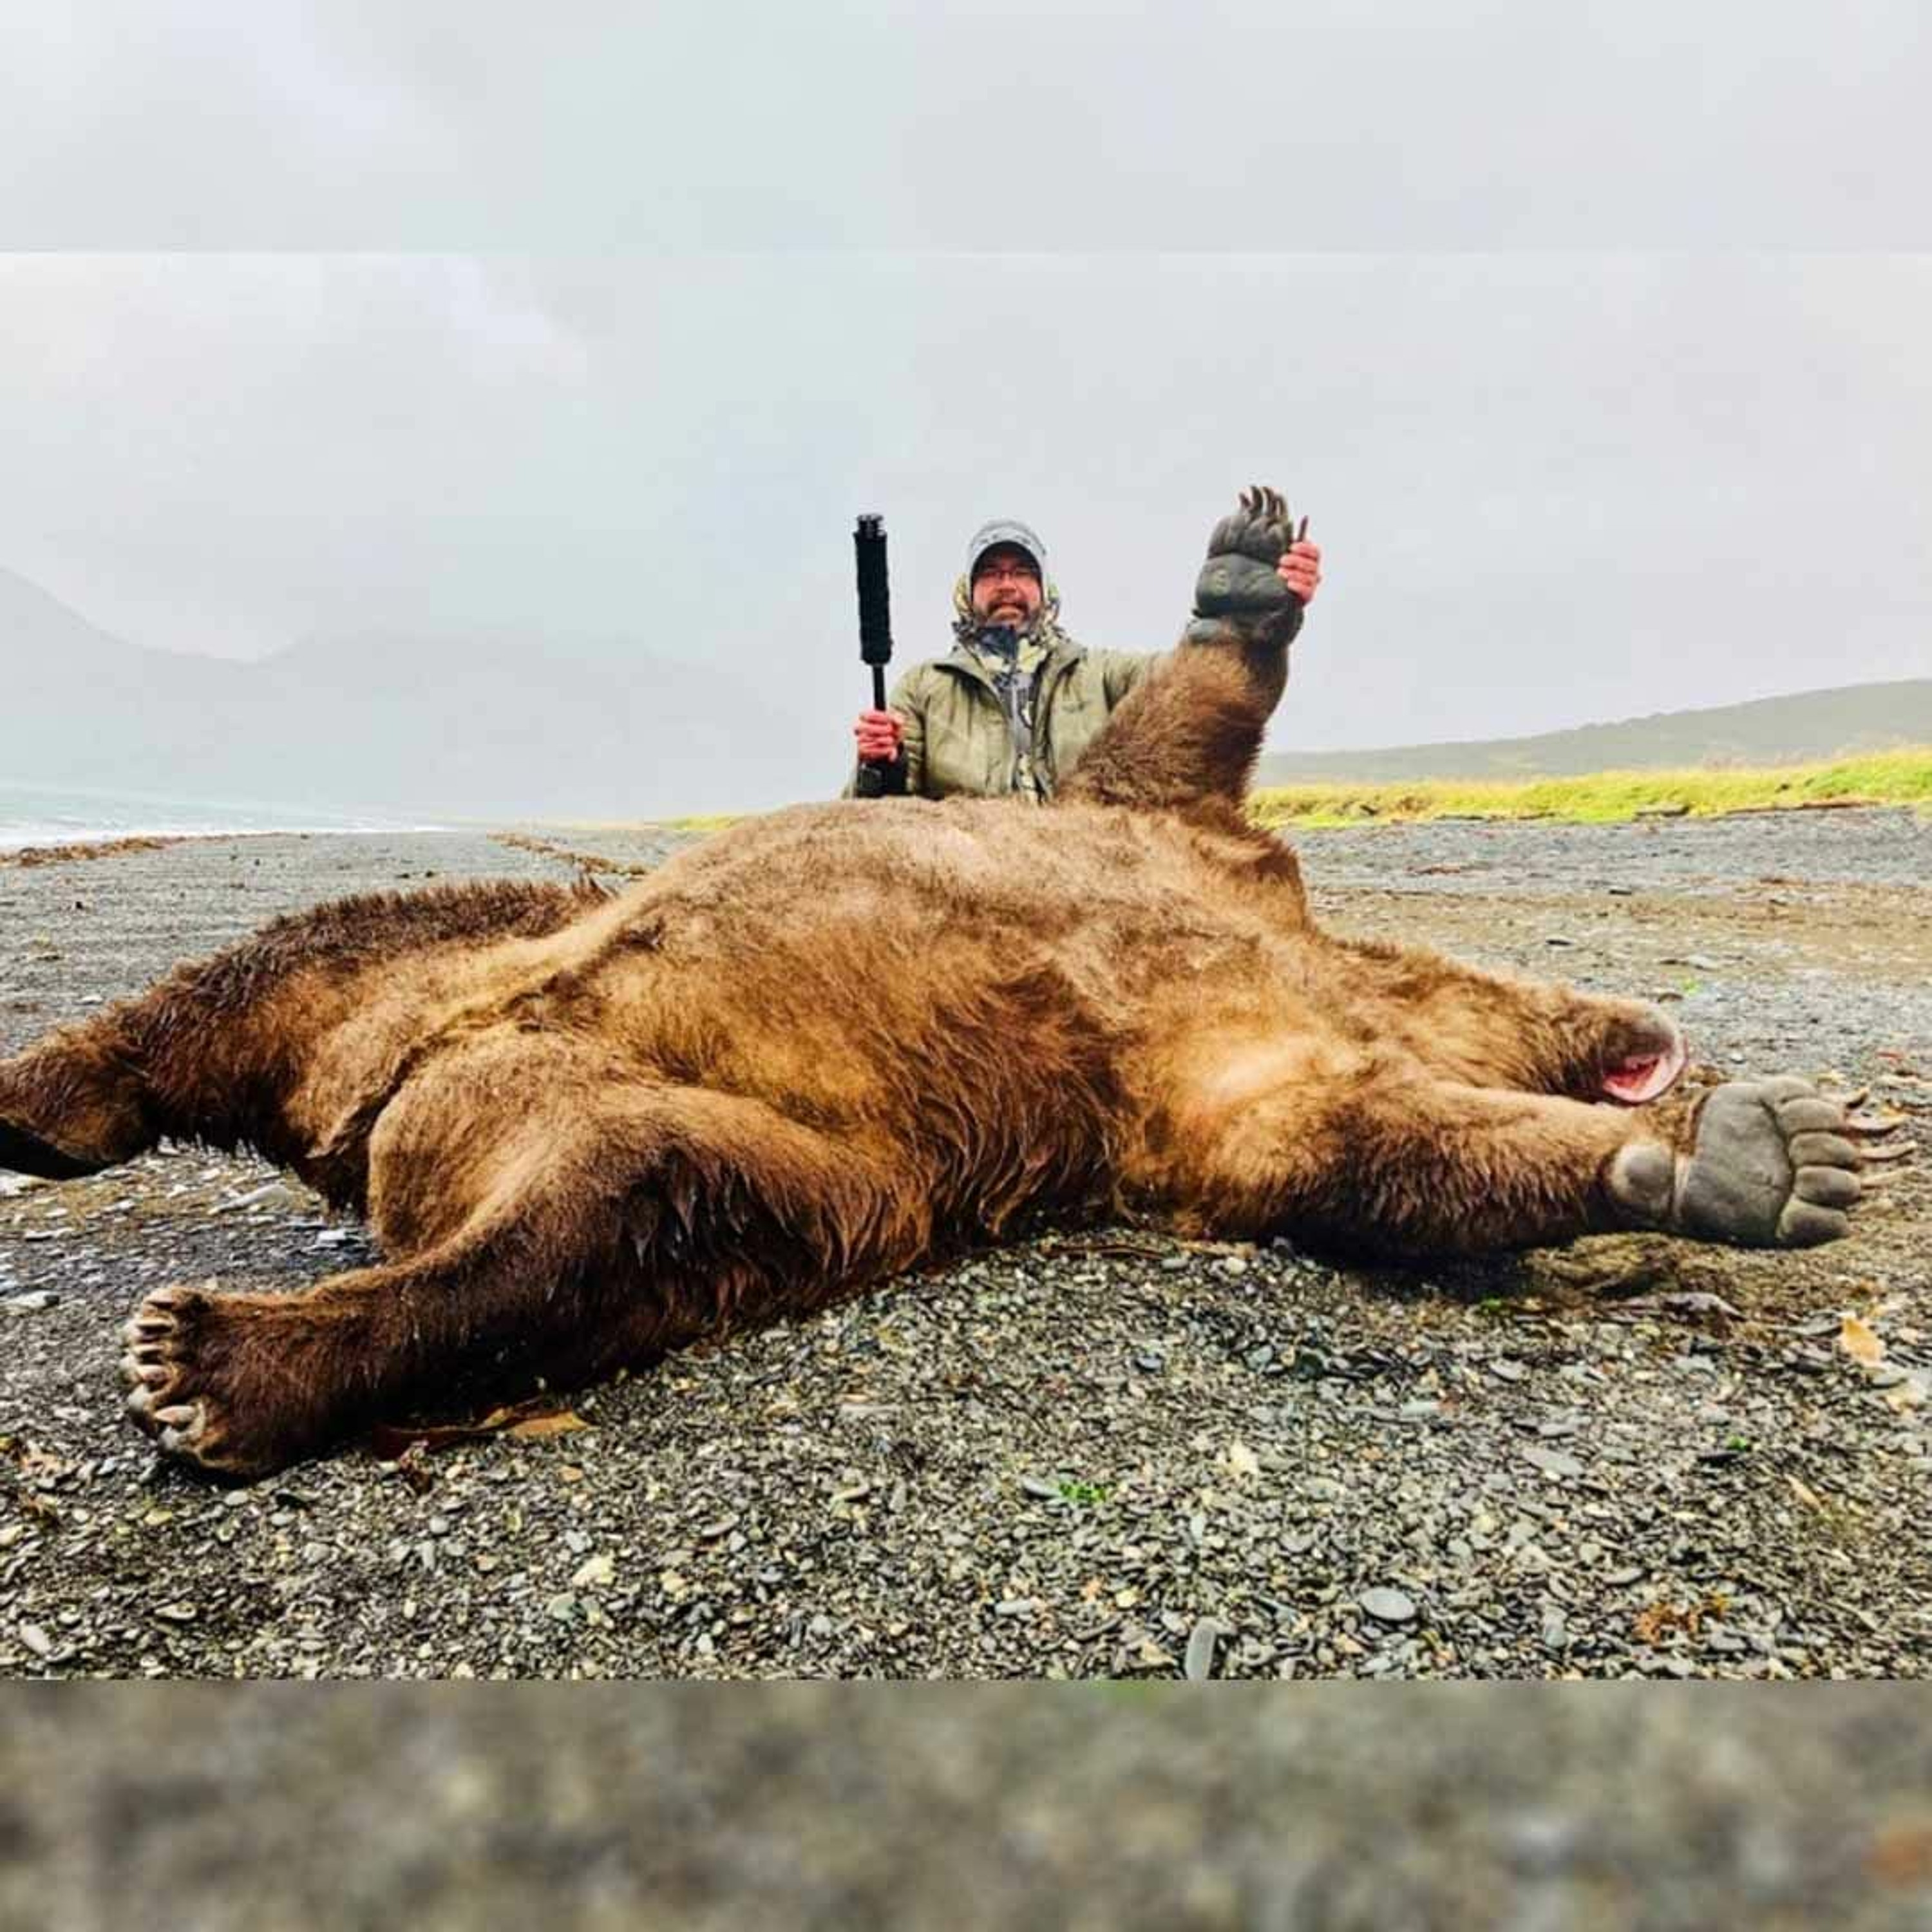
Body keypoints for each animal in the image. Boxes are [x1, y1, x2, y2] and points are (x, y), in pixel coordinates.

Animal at [0, 489, 1906, 1476]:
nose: (1649, 1040)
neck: (1343, 964)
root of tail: (376, 1110)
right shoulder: (1172, 860)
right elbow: (1186, 718)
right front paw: (1244, 570)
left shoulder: (1220, 1079)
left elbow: (1381, 1164)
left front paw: (1752, 1151)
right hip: (475, 960)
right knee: (291, 961)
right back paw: (60, 1127)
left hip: (699, 1135)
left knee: (606, 1210)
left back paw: (216, 1354)